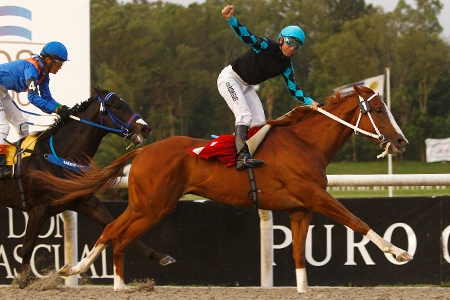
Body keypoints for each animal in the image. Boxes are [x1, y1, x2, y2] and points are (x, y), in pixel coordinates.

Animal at [3, 86, 174, 286]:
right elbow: (27, 247)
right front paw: (20, 281)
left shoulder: (84, 201)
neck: (55, 156)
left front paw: (160, 256)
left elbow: (113, 226)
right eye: (117, 106)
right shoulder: (39, 208)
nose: (145, 128)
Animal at [37, 84, 414, 290]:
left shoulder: (299, 208)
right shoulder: (316, 196)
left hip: (144, 204)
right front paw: (398, 251)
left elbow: (297, 252)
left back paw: (75, 269)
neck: (306, 143)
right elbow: (357, 221)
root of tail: (143, 149)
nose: (401, 141)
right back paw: (115, 284)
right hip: (154, 206)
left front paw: (303, 289)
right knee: (120, 237)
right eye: (378, 108)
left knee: (111, 229)